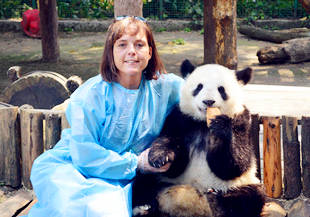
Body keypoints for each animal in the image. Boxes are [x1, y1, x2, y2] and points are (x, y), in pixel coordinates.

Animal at [132, 59, 266, 217]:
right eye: (199, 87)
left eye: (221, 89)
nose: (208, 101)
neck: (203, 123)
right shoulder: (179, 118)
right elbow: (172, 156)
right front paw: (161, 157)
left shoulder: (241, 120)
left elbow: (236, 163)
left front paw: (220, 130)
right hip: (161, 180)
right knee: (145, 181)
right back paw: (143, 207)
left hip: (241, 184)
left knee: (249, 198)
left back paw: (217, 202)